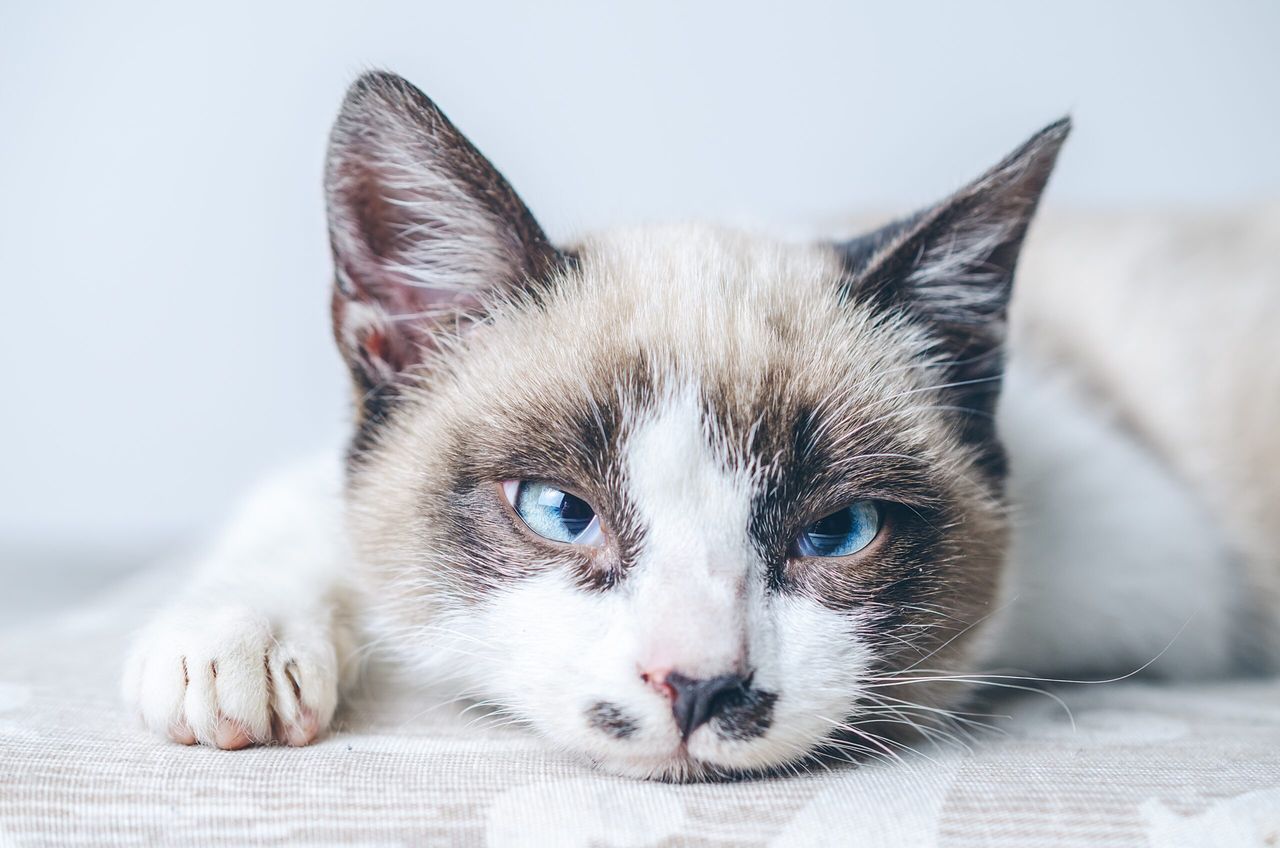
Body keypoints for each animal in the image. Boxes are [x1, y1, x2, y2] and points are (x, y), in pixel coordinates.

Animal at [117, 73, 1269, 783]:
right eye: (558, 512)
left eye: (837, 533)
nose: (700, 685)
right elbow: (313, 510)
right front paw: (235, 649)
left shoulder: (1155, 573)